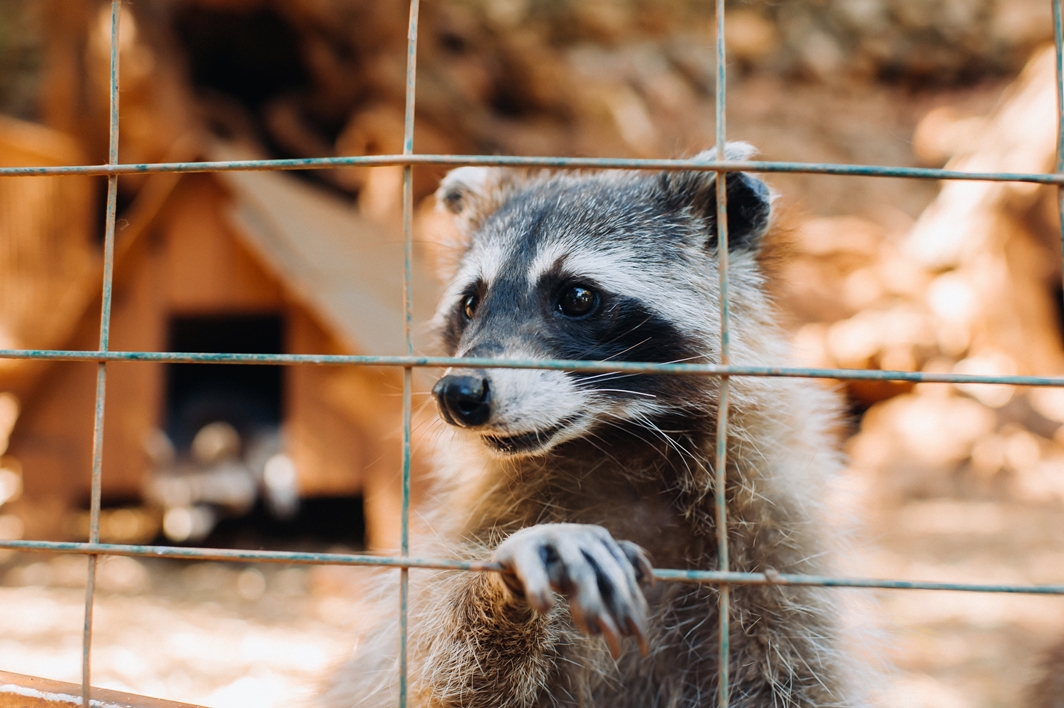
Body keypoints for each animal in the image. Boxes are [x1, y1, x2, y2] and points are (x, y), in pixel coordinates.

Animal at [322, 144, 856, 707]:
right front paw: (511, 576)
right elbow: (442, 679)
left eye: (577, 297)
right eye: (471, 303)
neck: (617, 444)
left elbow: (793, 679)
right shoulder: (478, 520)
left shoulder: (773, 546)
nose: (458, 393)